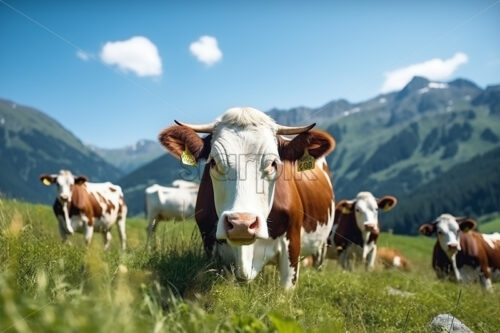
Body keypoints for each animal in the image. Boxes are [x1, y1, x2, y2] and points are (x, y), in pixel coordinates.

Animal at [156, 107, 336, 288]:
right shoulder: (211, 248)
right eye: (213, 162)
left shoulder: (291, 247)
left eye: (273, 163)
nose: (241, 224)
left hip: (322, 243)